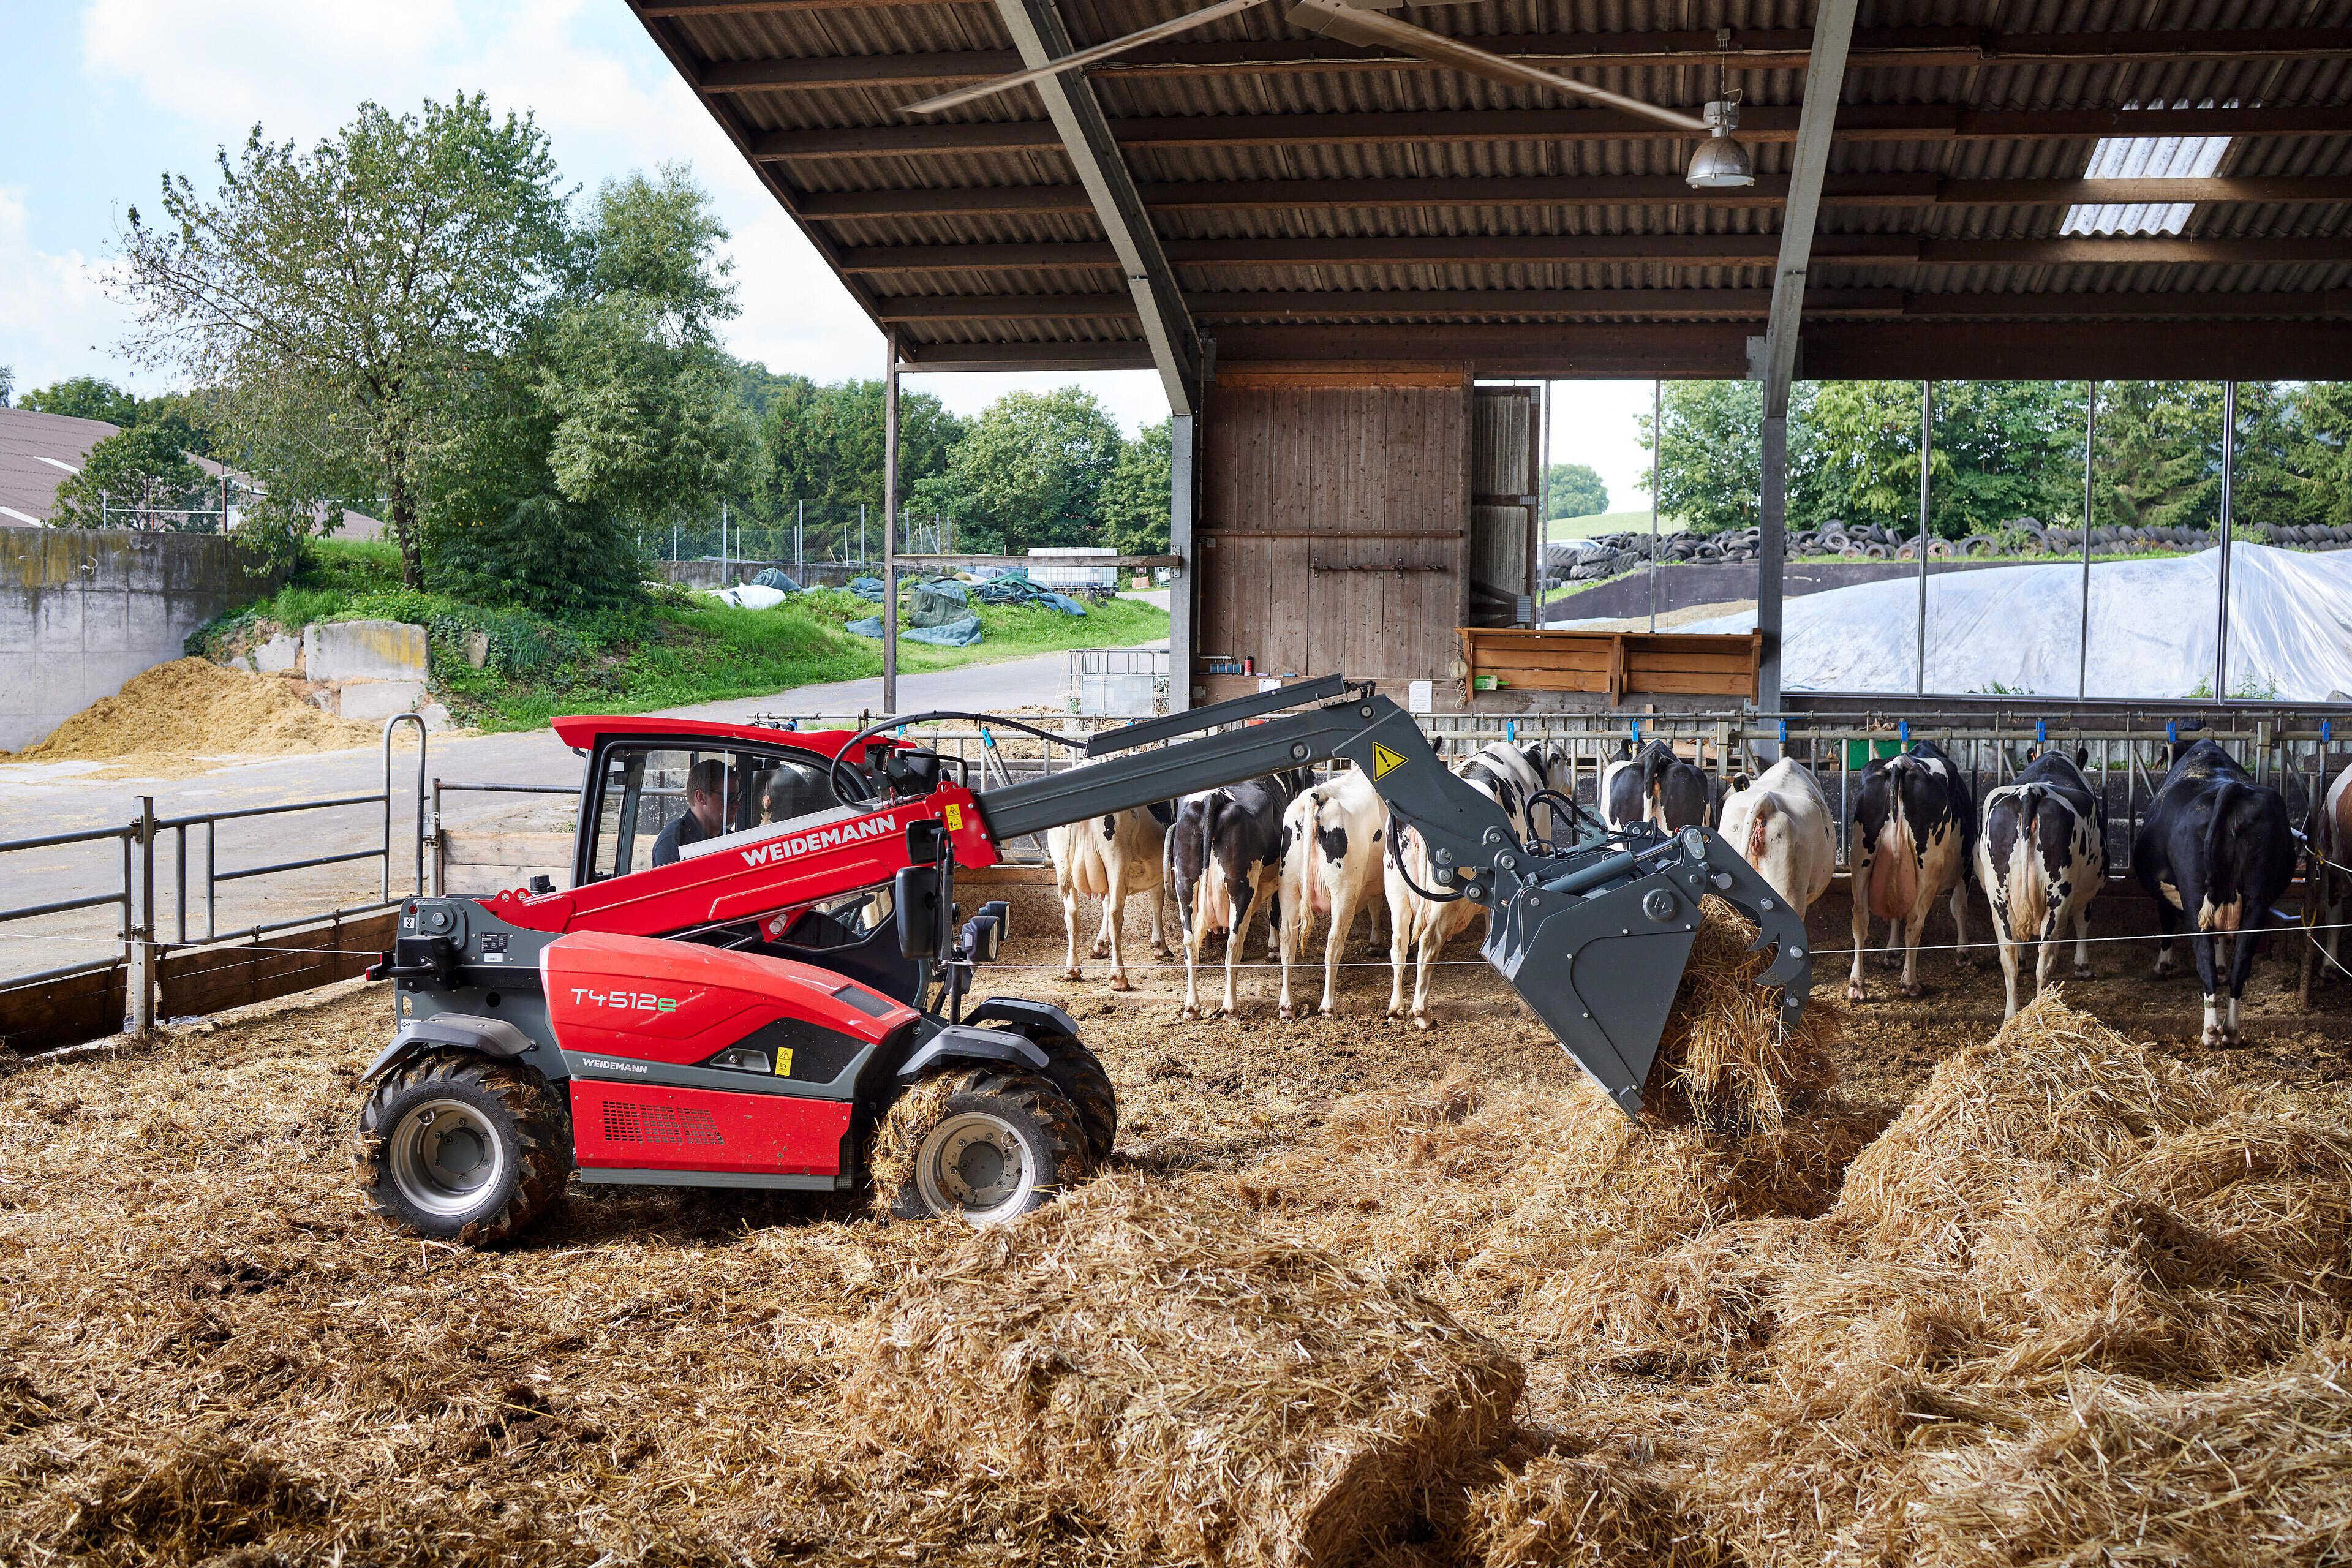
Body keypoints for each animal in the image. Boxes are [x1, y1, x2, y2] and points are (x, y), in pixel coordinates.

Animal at [1166, 771, 1317, 1020]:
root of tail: (1214, 796)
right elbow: (1273, 909)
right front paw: (1273, 948)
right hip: (1241, 888)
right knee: (1233, 944)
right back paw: (1230, 1008)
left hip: (1185, 885)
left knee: (1190, 945)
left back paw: (1192, 1007)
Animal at [1844, 738, 1975, 1006]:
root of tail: (1900, 763)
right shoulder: (1966, 864)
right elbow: (1959, 907)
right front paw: (1964, 954)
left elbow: (1895, 909)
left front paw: (1891, 953)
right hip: (1928, 866)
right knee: (1915, 921)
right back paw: (1909, 984)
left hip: (1861, 857)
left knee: (1860, 918)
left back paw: (1857, 985)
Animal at [1975, 752, 2107, 1025]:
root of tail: (2031, 791)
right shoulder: (2086, 894)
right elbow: (2083, 922)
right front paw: (2083, 967)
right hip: (2058, 898)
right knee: (2046, 956)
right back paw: (2042, 1009)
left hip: (1998, 899)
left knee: (2008, 954)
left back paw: (2012, 1016)